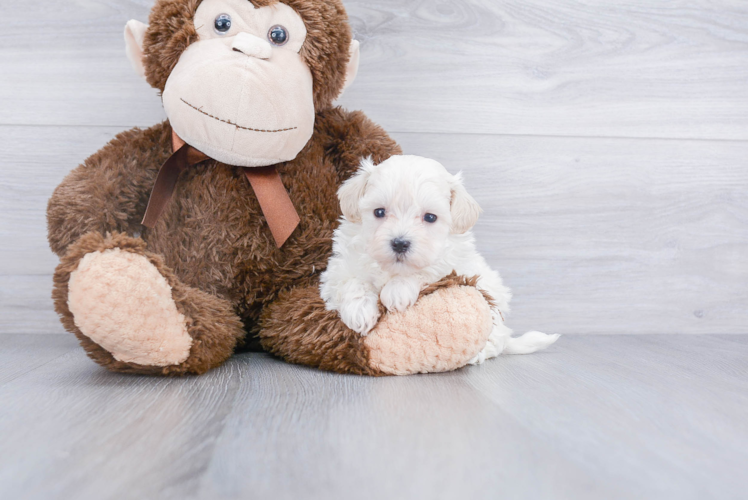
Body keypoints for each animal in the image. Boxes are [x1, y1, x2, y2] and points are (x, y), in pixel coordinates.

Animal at [318, 154, 560, 362]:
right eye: (379, 212)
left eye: (430, 217)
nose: (400, 243)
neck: (394, 269)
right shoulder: (339, 267)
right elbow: (351, 281)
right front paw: (359, 311)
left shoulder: (452, 264)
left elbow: (427, 270)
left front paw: (397, 291)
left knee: (496, 340)